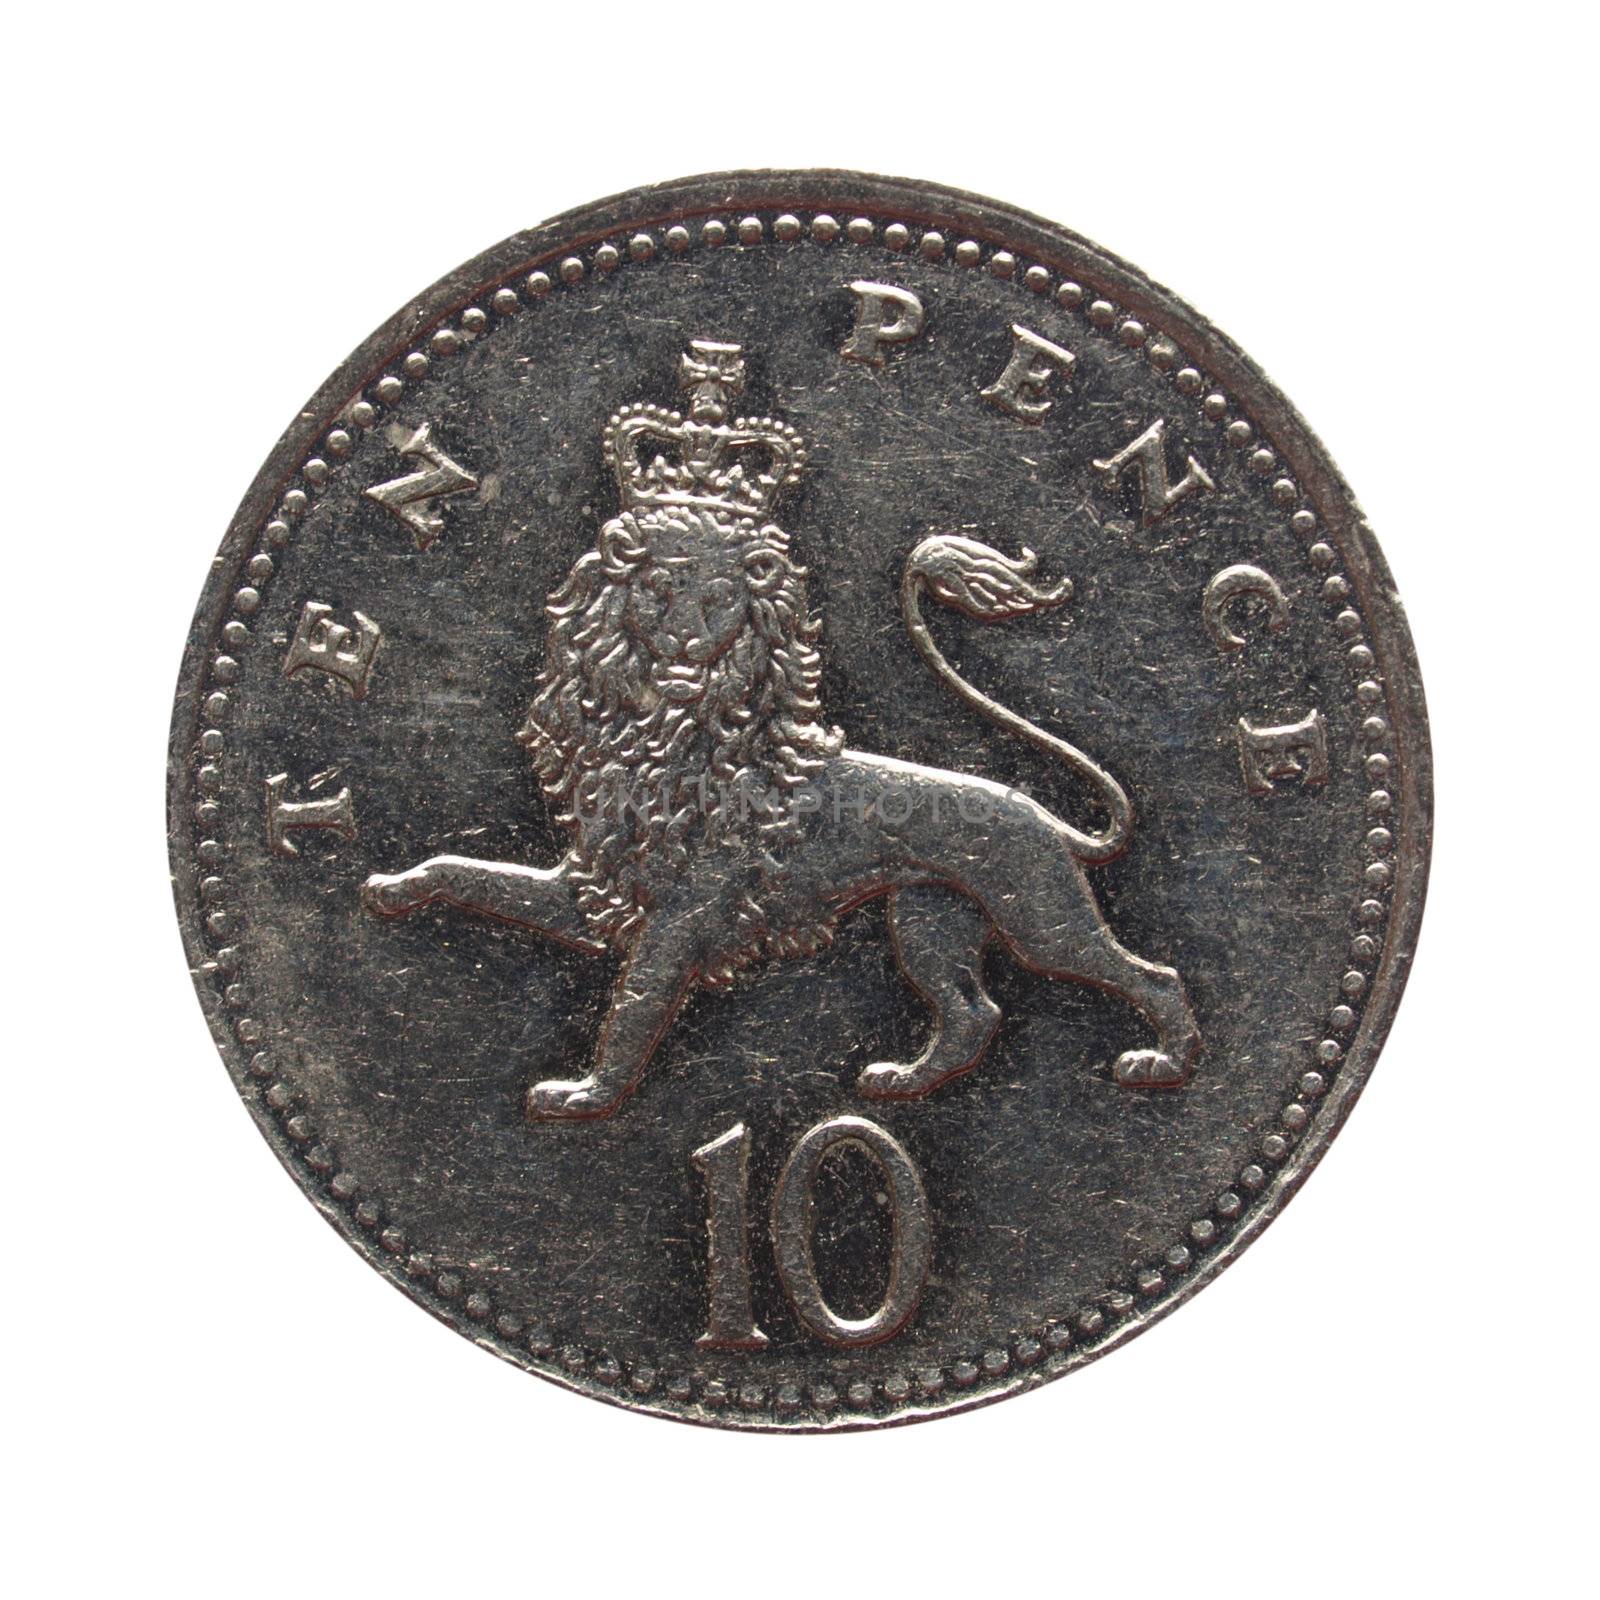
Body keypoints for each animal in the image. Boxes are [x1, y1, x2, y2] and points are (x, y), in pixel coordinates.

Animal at [360, 340, 1190, 1113]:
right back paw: (902, 1080)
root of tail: (1047, 820)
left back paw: (1162, 1063)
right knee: (972, 1013)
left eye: (723, 597)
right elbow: (463, 871)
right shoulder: (593, 888)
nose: (688, 644)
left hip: (1041, 918)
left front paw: (589, 1095)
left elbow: (633, 1006)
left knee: (1152, 976)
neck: (663, 742)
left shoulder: (686, 911)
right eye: (659, 587)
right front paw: (394, 888)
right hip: (932, 918)